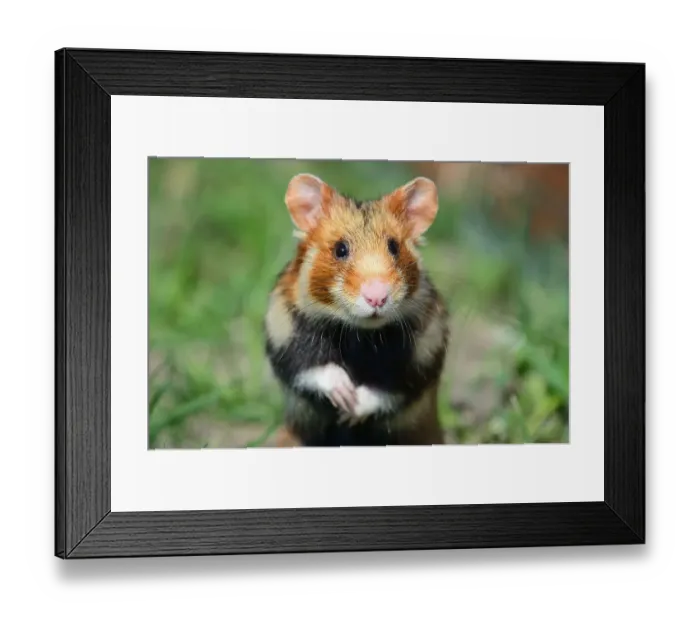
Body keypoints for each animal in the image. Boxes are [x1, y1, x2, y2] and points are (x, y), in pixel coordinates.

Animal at [263, 173, 450, 447]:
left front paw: (351, 411)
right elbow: (312, 366)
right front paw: (344, 396)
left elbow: (388, 388)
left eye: (394, 247)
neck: (360, 334)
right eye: (340, 249)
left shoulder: (423, 353)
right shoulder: (285, 333)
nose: (377, 297)